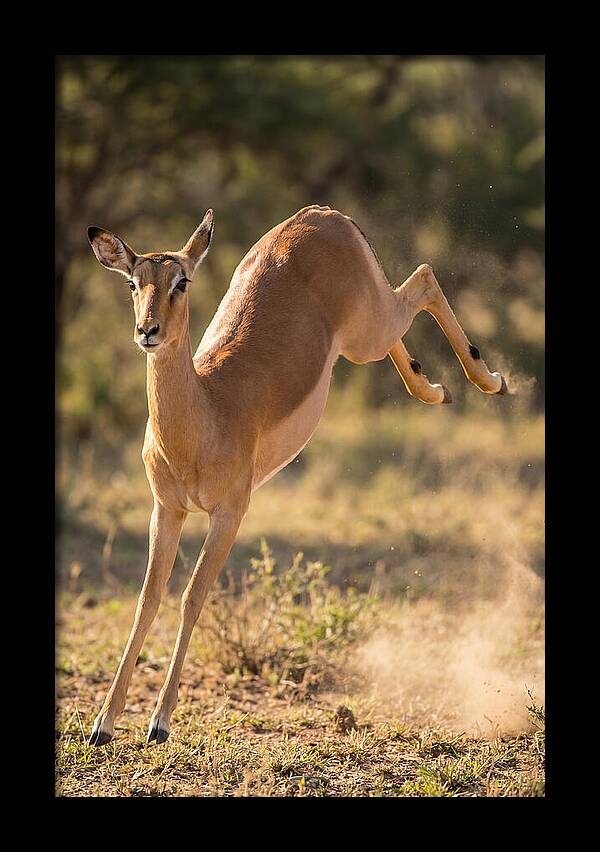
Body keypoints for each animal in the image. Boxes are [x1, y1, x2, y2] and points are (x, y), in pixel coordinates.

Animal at [86, 204, 507, 747]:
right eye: (133, 282)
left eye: (181, 281)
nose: (147, 331)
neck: (205, 413)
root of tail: (322, 214)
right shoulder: (167, 509)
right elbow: (146, 600)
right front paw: (103, 723)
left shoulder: (230, 512)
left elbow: (192, 596)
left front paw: (159, 722)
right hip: (364, 335)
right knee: (411, 308)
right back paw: (435, 388)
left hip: (367, 330)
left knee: (425, 277)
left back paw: (490, 380)